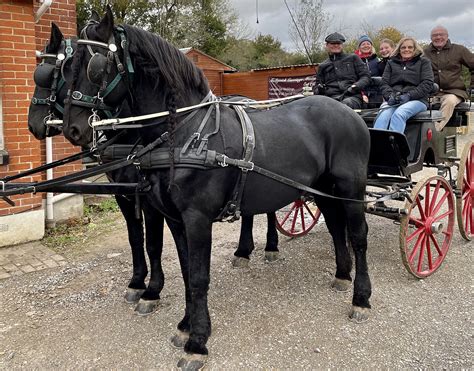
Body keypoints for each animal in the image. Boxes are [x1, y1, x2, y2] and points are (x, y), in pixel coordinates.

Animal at [28, 23, 278, 314]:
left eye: (58, 71)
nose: (35, 125)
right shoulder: (125, 195)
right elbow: (136, 239)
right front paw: (137, 282)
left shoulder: (150, 200)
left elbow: (153, 243)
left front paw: (152, 290)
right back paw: (243, 251)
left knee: (270, 209)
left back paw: (271, 246)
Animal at [63, 8, 372, 370]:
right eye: (68, 65)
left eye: (93, 65)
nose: (72, 128)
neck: (186, 134)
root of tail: (350, 111)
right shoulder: (175, 219)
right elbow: (186, 270)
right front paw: (185, 326)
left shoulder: (197, 219)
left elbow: (198, 277)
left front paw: (197, 343)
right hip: (321, 187)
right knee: (336, 226)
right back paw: (341, 274)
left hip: (351, 187)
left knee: (358, 236)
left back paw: (361, 298)